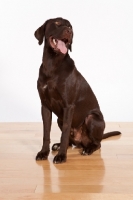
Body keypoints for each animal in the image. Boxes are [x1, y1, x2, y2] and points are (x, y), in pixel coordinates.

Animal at [34, 17, 120, 164]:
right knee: (70, 140)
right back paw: (58, 146)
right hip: (60, 119)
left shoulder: (68, 106)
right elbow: (46, 133)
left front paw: (62, 156)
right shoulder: (45, 106)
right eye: (57, 23)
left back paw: (88, 149)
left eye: (70, 26)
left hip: (92, 118)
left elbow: (64, 133)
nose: (69, 31)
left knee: (97, 143)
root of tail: (81, 142)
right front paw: (43, 153)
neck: (52, 64)